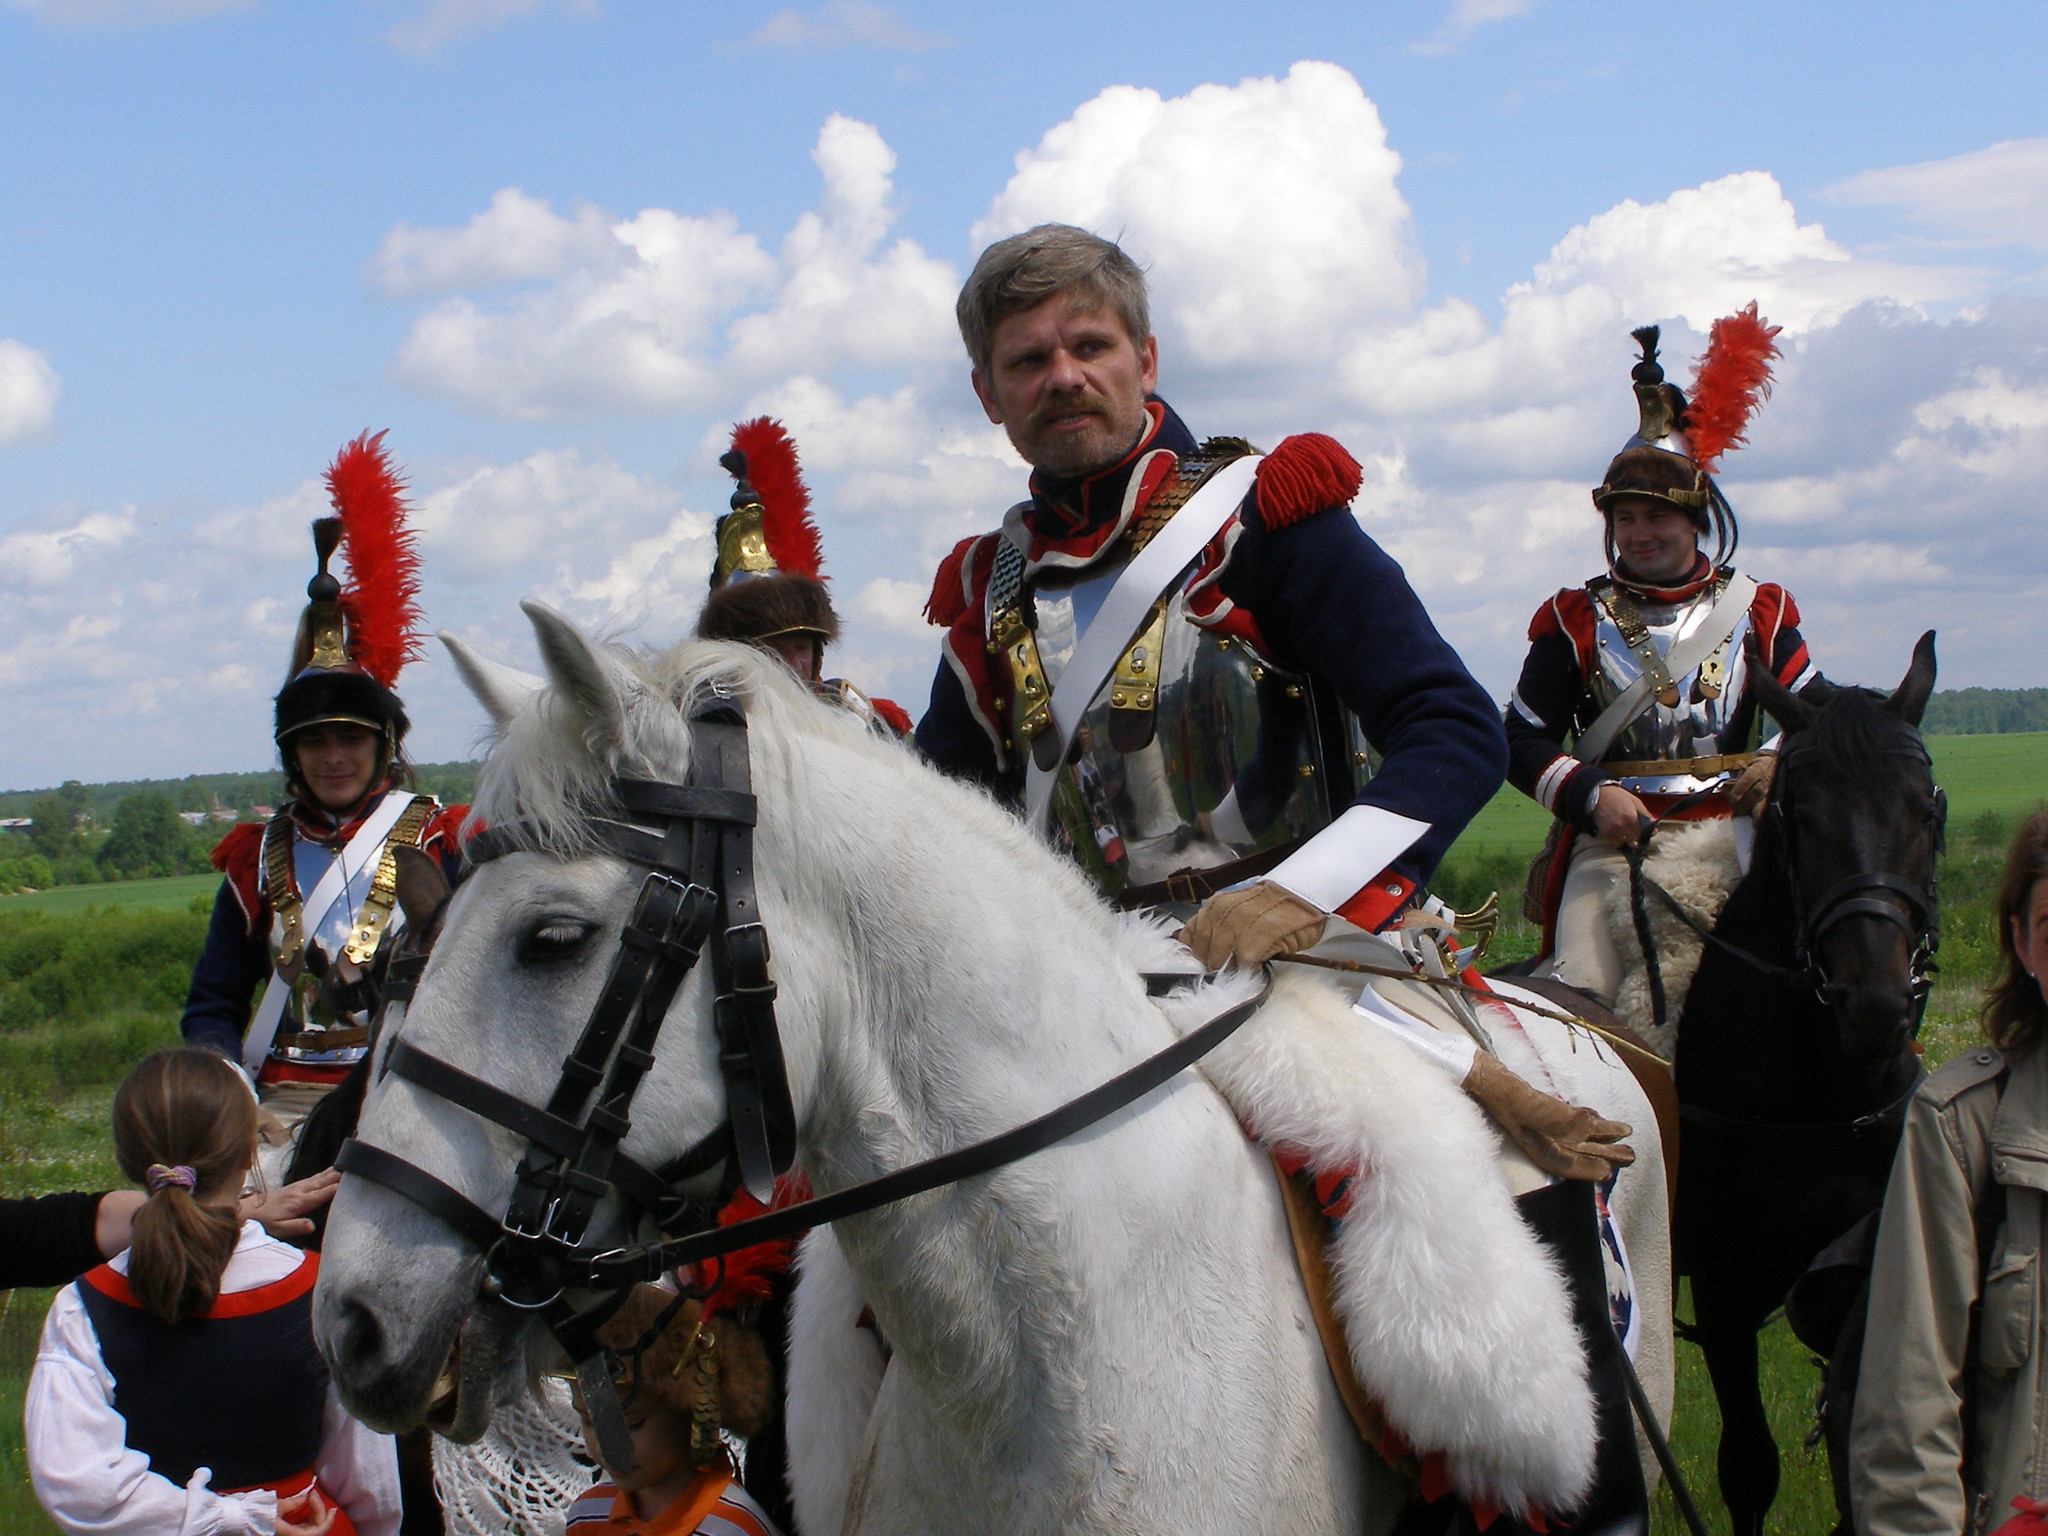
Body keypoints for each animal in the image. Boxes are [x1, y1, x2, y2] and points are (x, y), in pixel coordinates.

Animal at [1671, 630, 1941, 1531]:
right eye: (1803, 816)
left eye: (1924, 812)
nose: (1876, 1005)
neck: (1813, 1095)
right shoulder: (1723, 1294)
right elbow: (1748, 1468)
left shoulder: (1868, 1264)